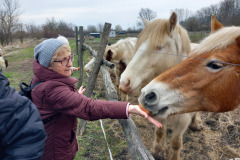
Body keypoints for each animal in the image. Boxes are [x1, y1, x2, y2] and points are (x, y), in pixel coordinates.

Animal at [119, 12, 202, 160]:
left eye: (159, 47)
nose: (124, 82)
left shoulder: (183, 121)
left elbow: (176, 143)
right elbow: (159, 130)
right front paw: (158, 151)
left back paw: (196, 123)